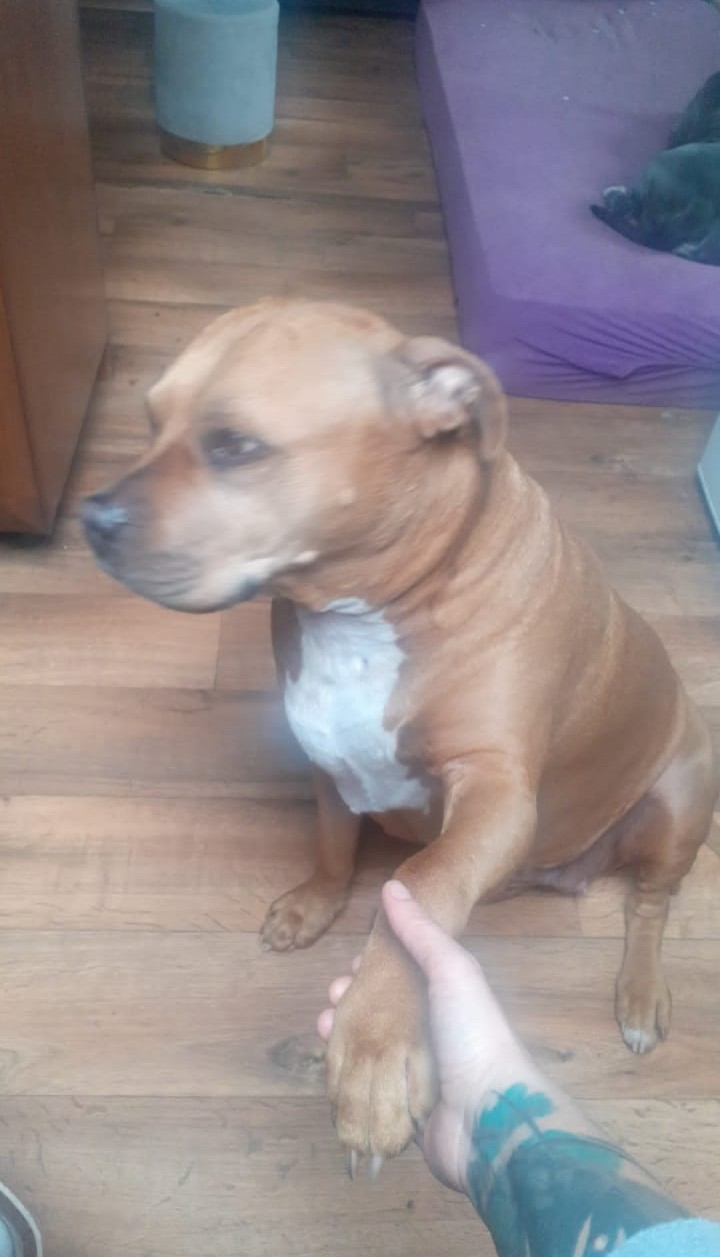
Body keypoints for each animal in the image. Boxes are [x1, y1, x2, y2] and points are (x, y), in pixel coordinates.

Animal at [82, 300, 719, 1161]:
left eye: (236, 445)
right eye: (150, 421)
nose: (93, 517)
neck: (367, 607)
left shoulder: (494, 791)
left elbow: (421, 882)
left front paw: (376, 1044)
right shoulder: (323, 756)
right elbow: (332, 843)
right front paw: (315, 905)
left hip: (679, 799)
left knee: (651, 903)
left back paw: (642, 992)